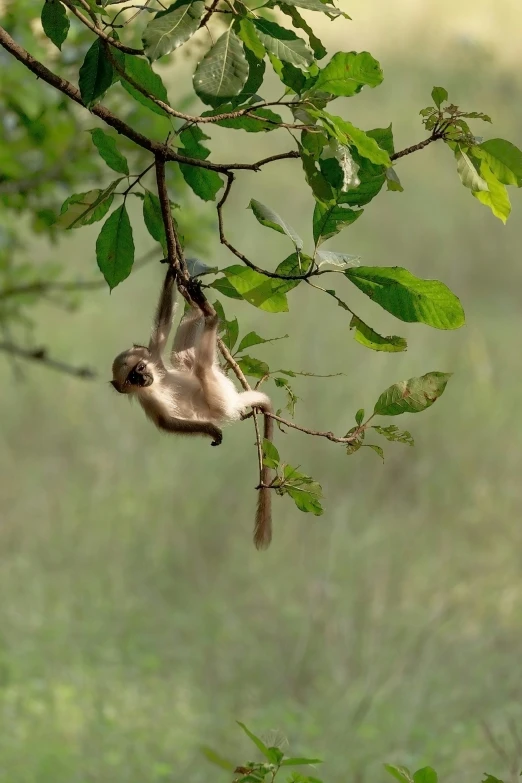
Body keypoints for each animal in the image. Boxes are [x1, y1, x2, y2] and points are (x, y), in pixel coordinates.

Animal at [109, 270, 272, 552]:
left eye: (139, 368)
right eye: (131, 378)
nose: (143, 379)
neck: (156, 381)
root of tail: (235, 401)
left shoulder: (154, 360)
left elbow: (161, 331)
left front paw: (171, 271)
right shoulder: (147, 399)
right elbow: (166, 422)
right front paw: (211, 430)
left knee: (182, 357)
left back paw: (196, 303)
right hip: (219, 397)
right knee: (201, 368)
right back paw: (210, 317)